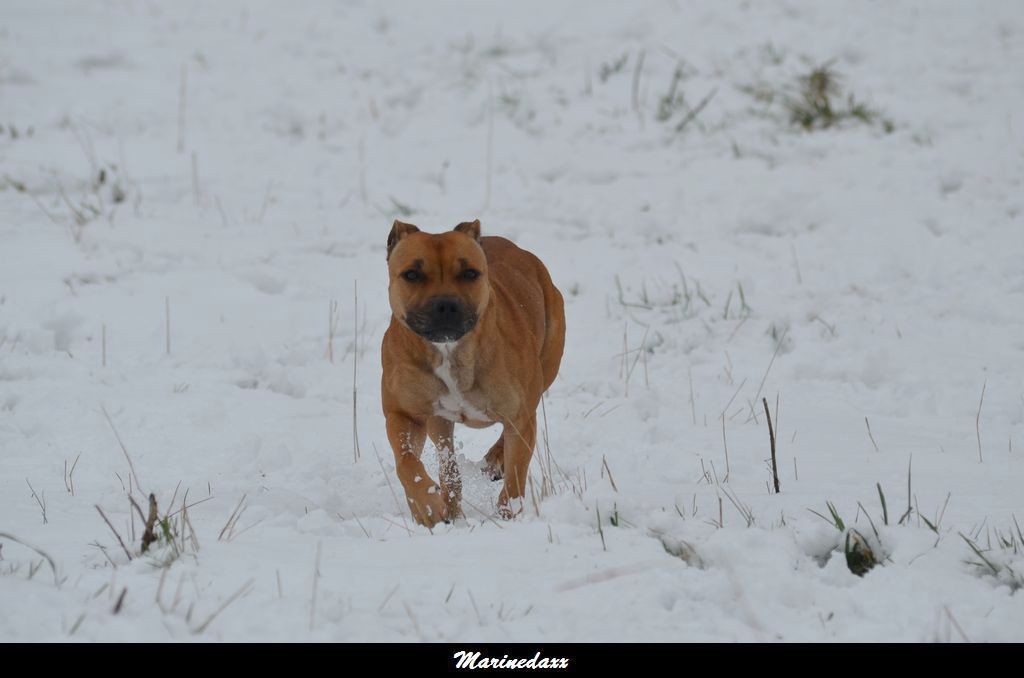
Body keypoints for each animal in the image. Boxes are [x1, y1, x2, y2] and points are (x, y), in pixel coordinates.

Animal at [382, 220, 565, 528]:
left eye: (469, 273)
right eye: (411, 274)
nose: (445, 304)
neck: (449, 351)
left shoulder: (520, 416)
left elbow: (515, 478)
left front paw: (507, 517)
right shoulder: (403, 414)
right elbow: (407, 464)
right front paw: (426, 506)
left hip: (548, 362)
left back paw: (494, 460)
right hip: (439, 421)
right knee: (448, 466)